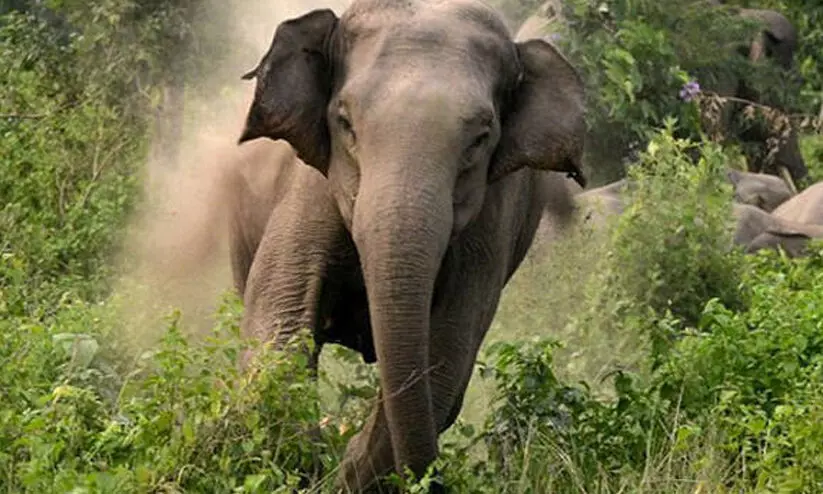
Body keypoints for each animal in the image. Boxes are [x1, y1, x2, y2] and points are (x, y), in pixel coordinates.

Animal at [235, 0, 586, 491]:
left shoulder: (491, 223)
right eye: (345, 122)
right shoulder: (309, 187)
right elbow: (279, 319)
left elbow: (446, 355)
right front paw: (307, 465)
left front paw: (343, 474)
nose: (430, 480)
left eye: (481, 138)